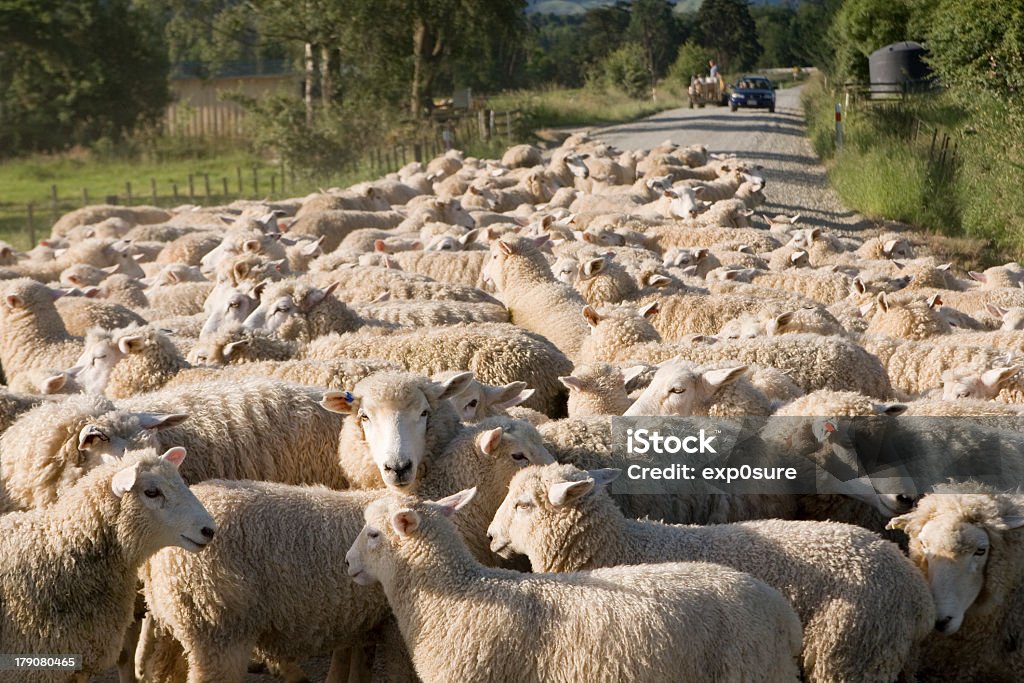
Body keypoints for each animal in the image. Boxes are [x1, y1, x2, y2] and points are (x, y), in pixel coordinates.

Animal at [491, 464, 937, 683]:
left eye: (524, 504)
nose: (491, 536)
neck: (620, 544)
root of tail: (915, 589)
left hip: (850, 652)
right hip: (888, 653)